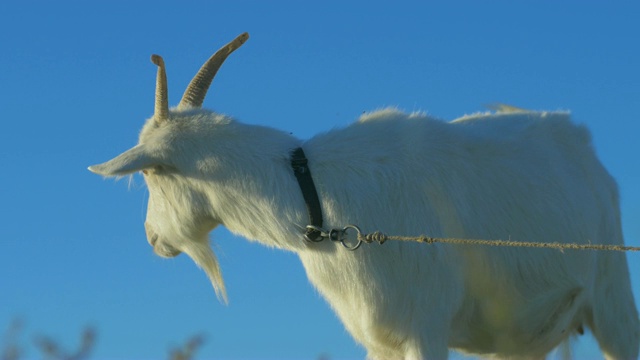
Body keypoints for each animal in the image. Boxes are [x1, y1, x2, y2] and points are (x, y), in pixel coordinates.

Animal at [90, 32, 640, 358]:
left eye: (150, 175)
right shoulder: (379, 337)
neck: (318, 198)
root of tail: (578, 137)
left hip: (613, 297)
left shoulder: (425, 326)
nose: (151, 238)